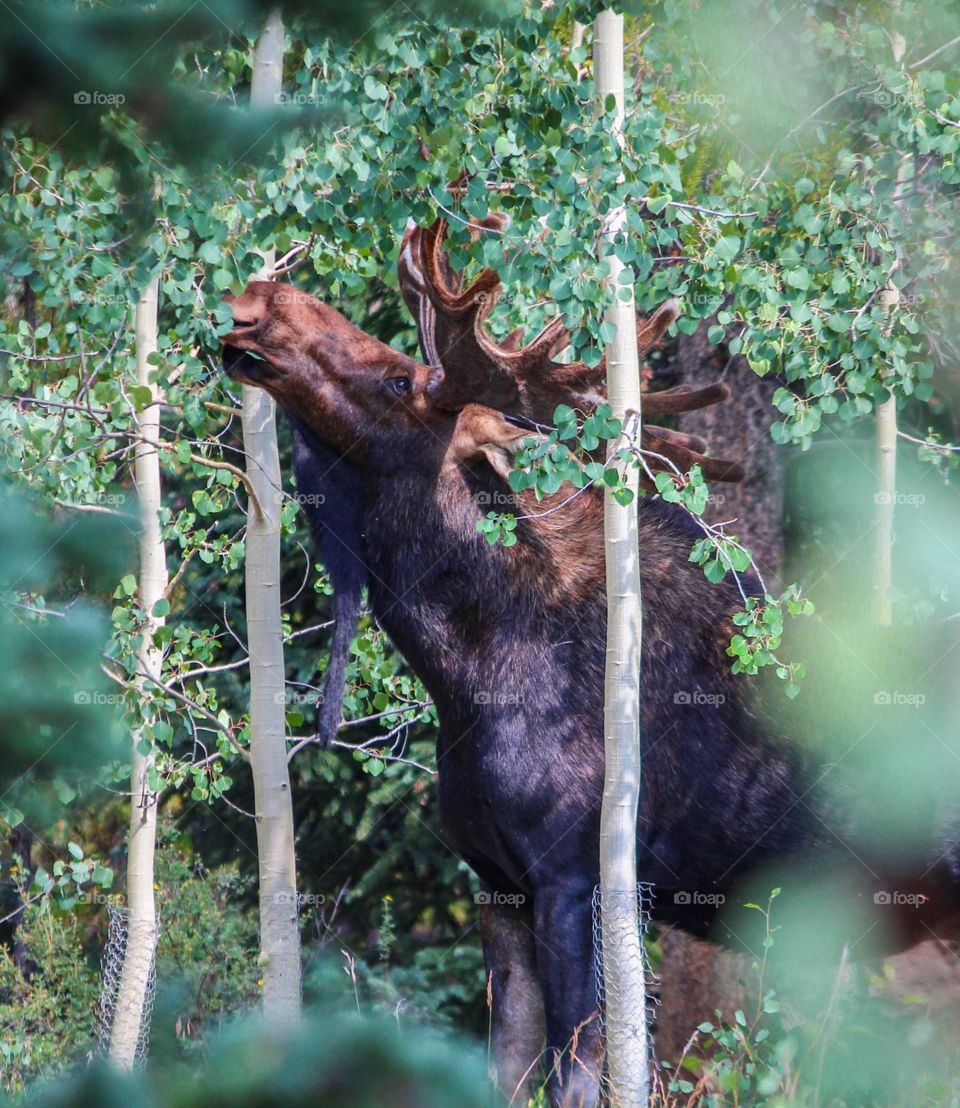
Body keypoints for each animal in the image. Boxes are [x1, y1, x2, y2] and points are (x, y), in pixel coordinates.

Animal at [220, 217, 960, 1107]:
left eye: (400, 380)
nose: (258, 300)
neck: (464, 673)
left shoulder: (573, 878)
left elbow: (576, 1078)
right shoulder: (496, 884)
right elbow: (504, 1073)